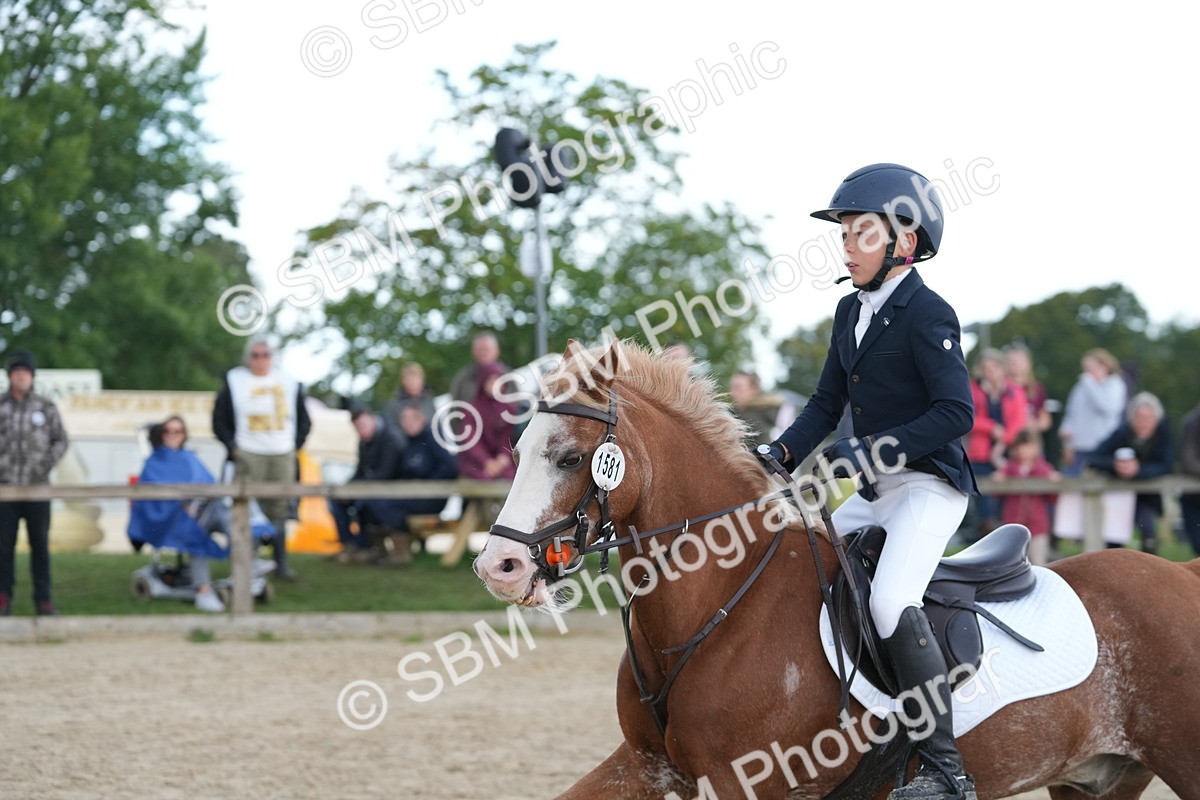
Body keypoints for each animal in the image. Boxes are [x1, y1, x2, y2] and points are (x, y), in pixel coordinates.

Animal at [474, 340, 1200, 799]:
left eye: (570, 458)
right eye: (518, 448)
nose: (498, 567)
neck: (718, 604)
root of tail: (1183, 573)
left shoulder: (744, 781)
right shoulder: (647, 765)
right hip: (1100, 776)